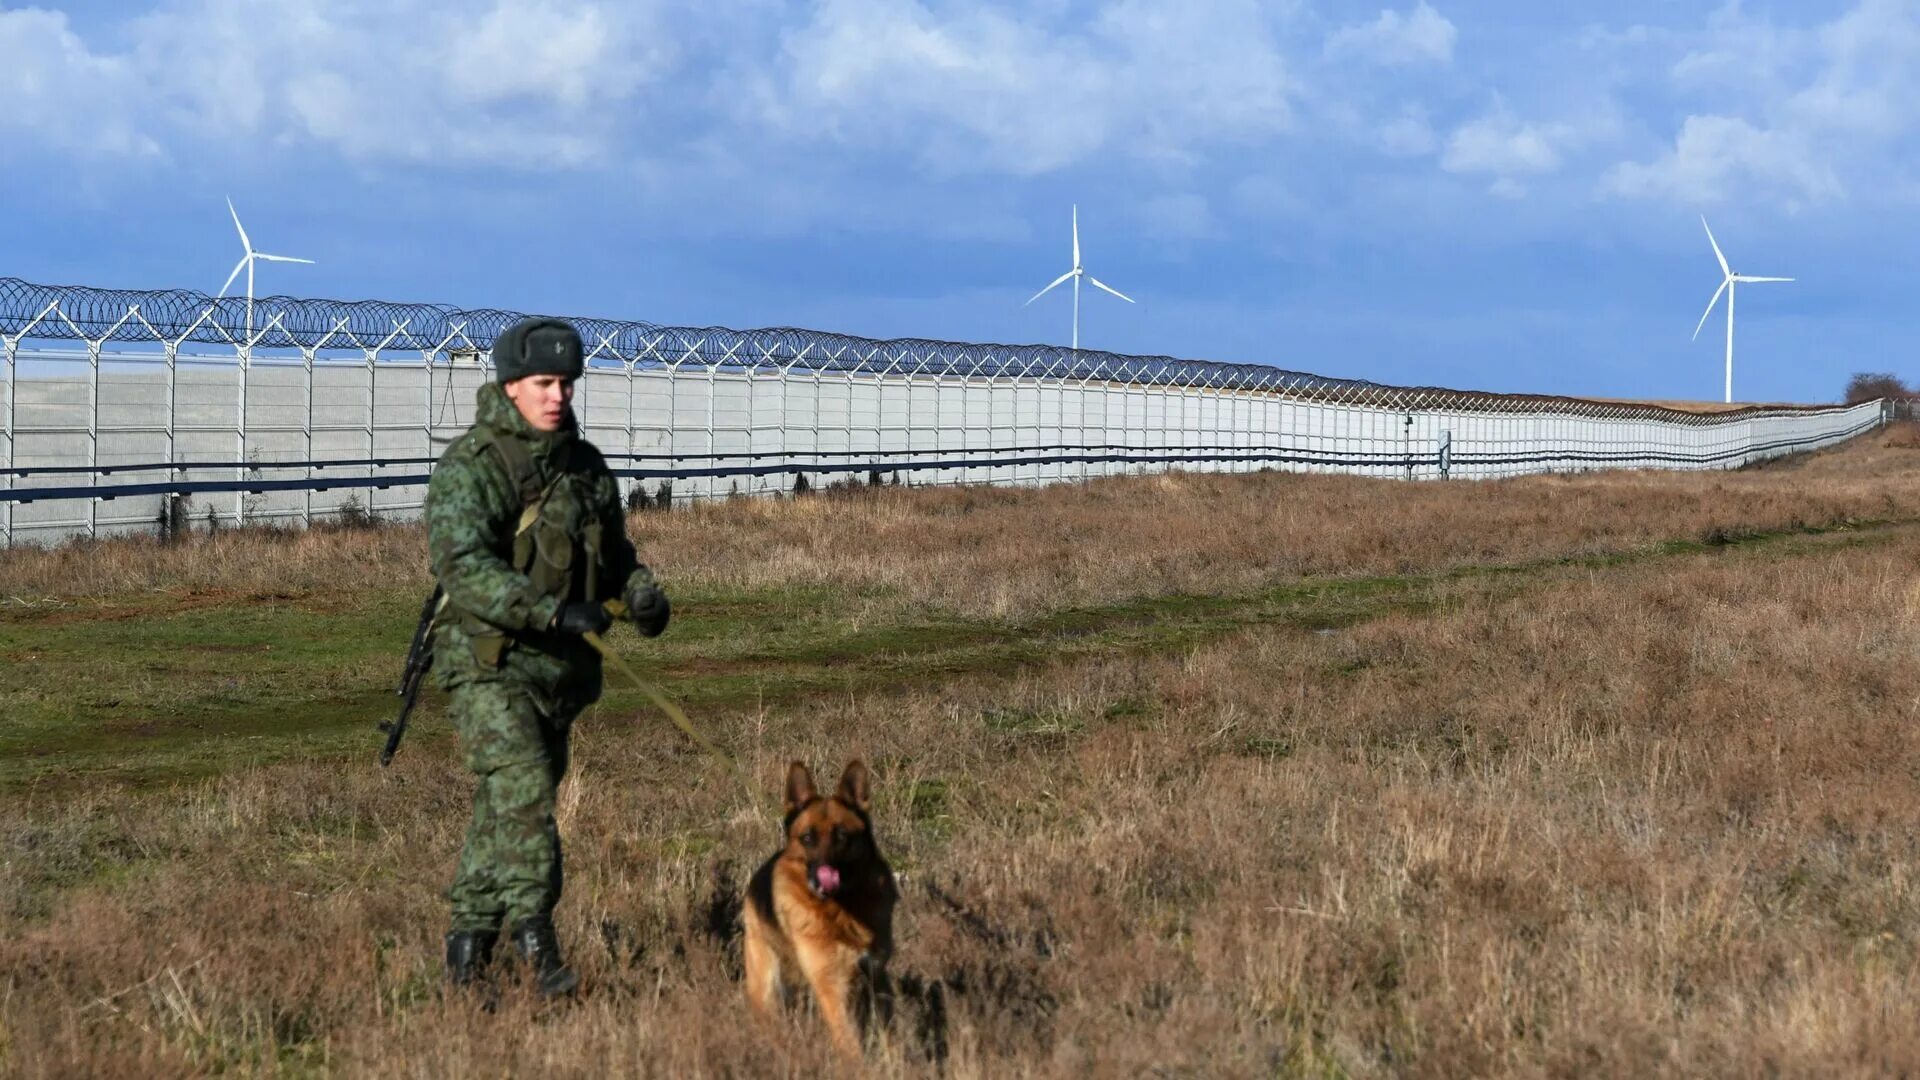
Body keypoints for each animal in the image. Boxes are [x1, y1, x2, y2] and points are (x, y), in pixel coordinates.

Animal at [744, 757, 902, 1053]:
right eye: (807, 838)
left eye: (842, 836)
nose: (826, 873)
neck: (841, 912)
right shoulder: (831, 985)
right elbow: (849, 1042)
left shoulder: (876, 977)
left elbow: (887, 1033)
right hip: (767, 984)